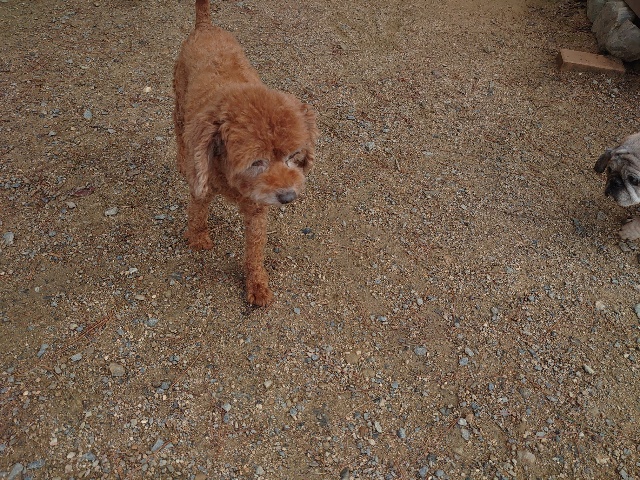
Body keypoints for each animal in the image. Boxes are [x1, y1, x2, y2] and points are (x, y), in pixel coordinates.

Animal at [173, 0, 318, 306]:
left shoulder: (257, 209)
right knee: (179, 133)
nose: (288, 197)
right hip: (179, 100)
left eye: (292, 156)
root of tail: (206, 26)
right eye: (256, 162)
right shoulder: (203, 183)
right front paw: (198, 239)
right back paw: (181, 160)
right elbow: (197, 213)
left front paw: (257, 284)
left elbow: (255, 249)